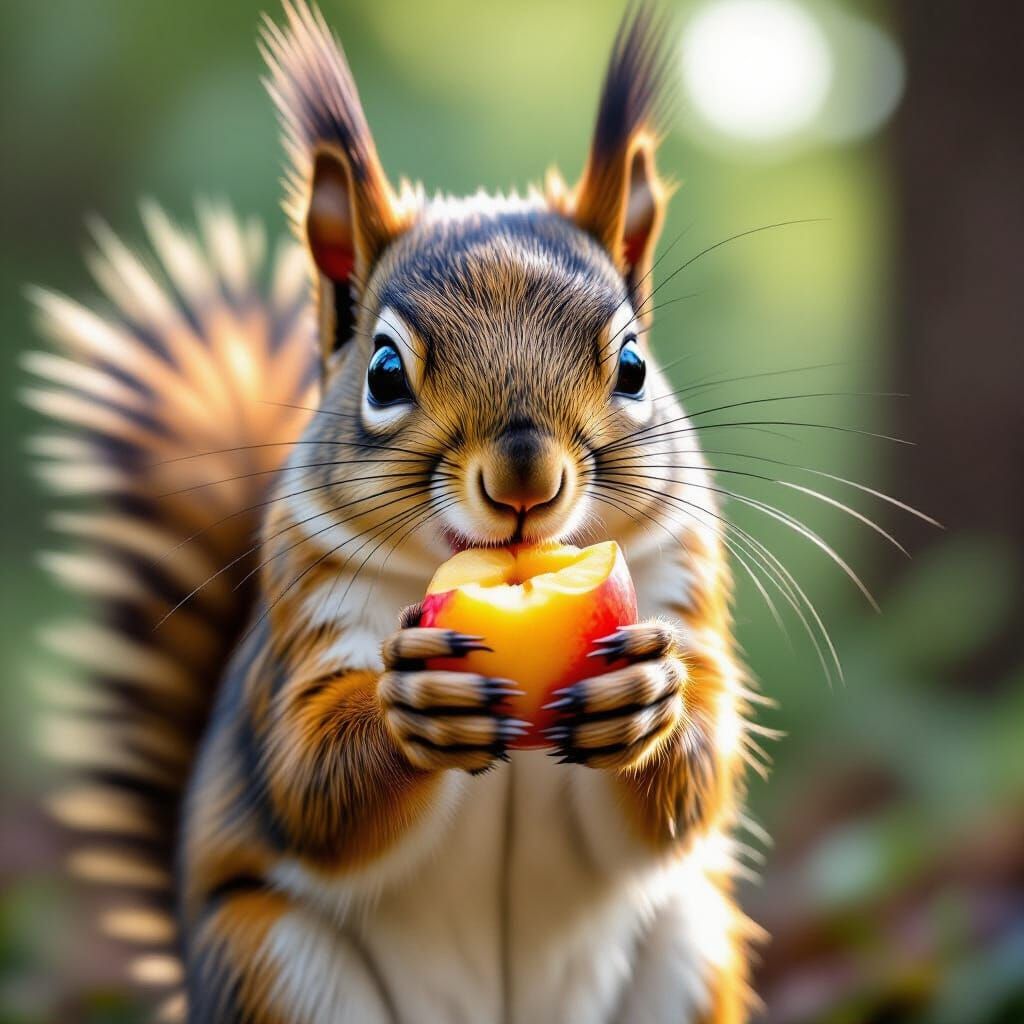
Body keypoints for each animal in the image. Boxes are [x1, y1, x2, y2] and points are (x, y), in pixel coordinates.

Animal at [27, 2, 765, 1022]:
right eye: (382, 370)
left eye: (632, 364)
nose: (525, 479)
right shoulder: (304, 624)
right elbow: (308, 780)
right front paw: (412, 706)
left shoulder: (680, 581)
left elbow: (700, 777)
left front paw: (650, 698)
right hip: (270, 961)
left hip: (695, 948)